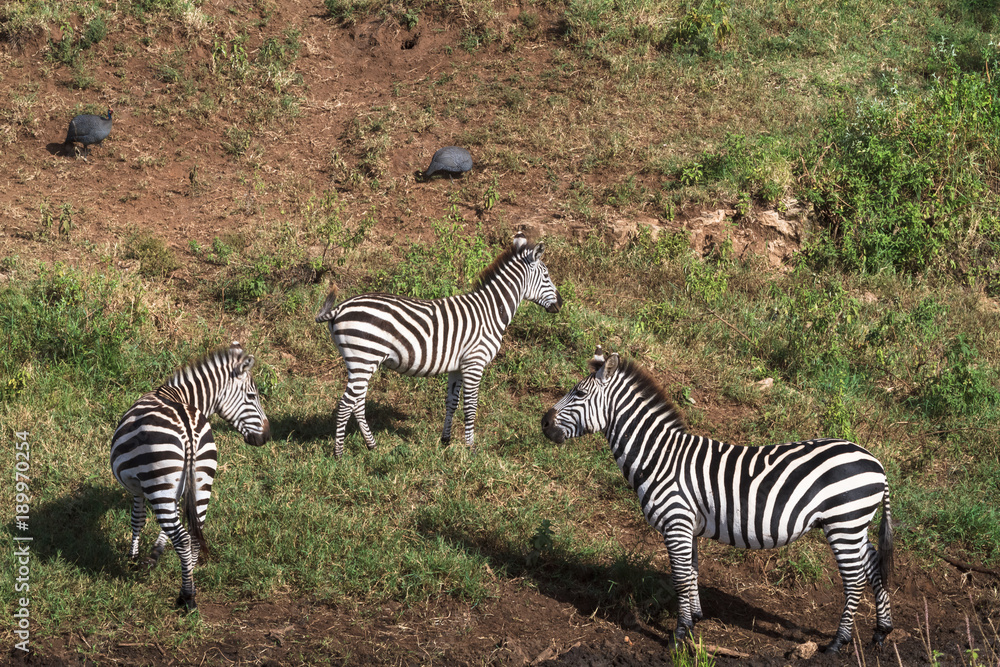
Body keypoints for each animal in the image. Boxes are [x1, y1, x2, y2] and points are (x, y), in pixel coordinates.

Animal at [110, 342, 270, 611]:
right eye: (252, 397)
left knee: (184, 539)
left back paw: (187, 597)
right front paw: (155, 554)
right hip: (202, 480)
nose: (266, 437)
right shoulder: (176, 488)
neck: (179, 396)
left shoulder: (138, 486)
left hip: (162, 479)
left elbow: (137, 519)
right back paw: (190, 585)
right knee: (194, 536)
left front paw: (134, 559)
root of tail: (188, 429)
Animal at [315, 232, 562, 457]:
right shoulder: (475, 363)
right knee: (346, 404)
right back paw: (339, 454)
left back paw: (372, 445)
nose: (560, 303)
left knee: (357, 403)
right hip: (363, 358)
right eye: (546, 275)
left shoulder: (457, 366)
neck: (490, 310)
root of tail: (340, 308)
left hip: (360, 362)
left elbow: (452, 402)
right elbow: (470, 406)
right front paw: (471, 448)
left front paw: (446, 440)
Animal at [541, 347, 893, 654]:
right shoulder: (688, 525)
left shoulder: (676, 522)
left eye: (580, 394)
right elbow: (692, 572)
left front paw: (678, 635)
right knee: (873, 564)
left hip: (844, 522)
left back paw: (838, 642)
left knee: (854, 579)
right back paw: (881, 631)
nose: (544, 423)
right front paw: (694, 620)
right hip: (855, 525)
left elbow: (680, 578)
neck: (659, 457)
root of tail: (875, 461)